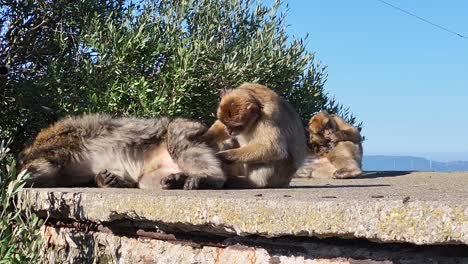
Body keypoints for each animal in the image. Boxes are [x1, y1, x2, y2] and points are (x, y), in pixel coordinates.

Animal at [19, 113, 228, 190]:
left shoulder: (59, 146)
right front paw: (106, 180)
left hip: (185, 129)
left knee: (179, 142)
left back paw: (208, 177)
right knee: (145, 181)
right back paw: (177, 179)